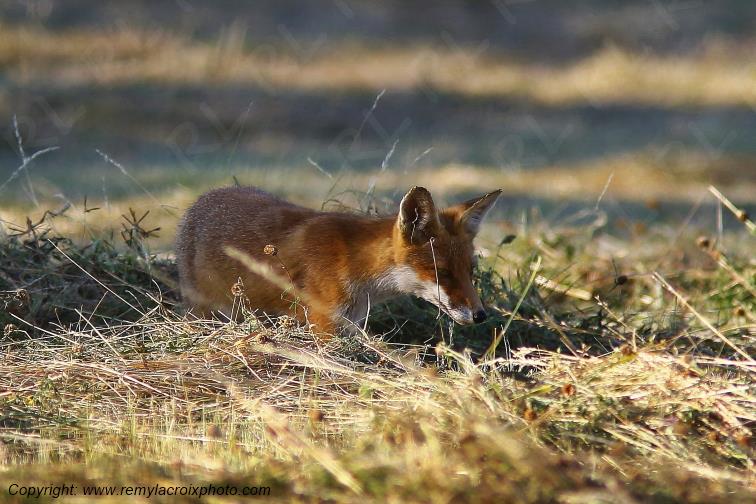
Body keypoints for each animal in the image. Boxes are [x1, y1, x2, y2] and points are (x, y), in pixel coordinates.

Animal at [175, 185, 502, 337]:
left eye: (470, 272)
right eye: (442, 272)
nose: (481, 315)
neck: (356, 264)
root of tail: (203, 198)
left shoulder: (350, 321)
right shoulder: (324, 326)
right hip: (204, 312)